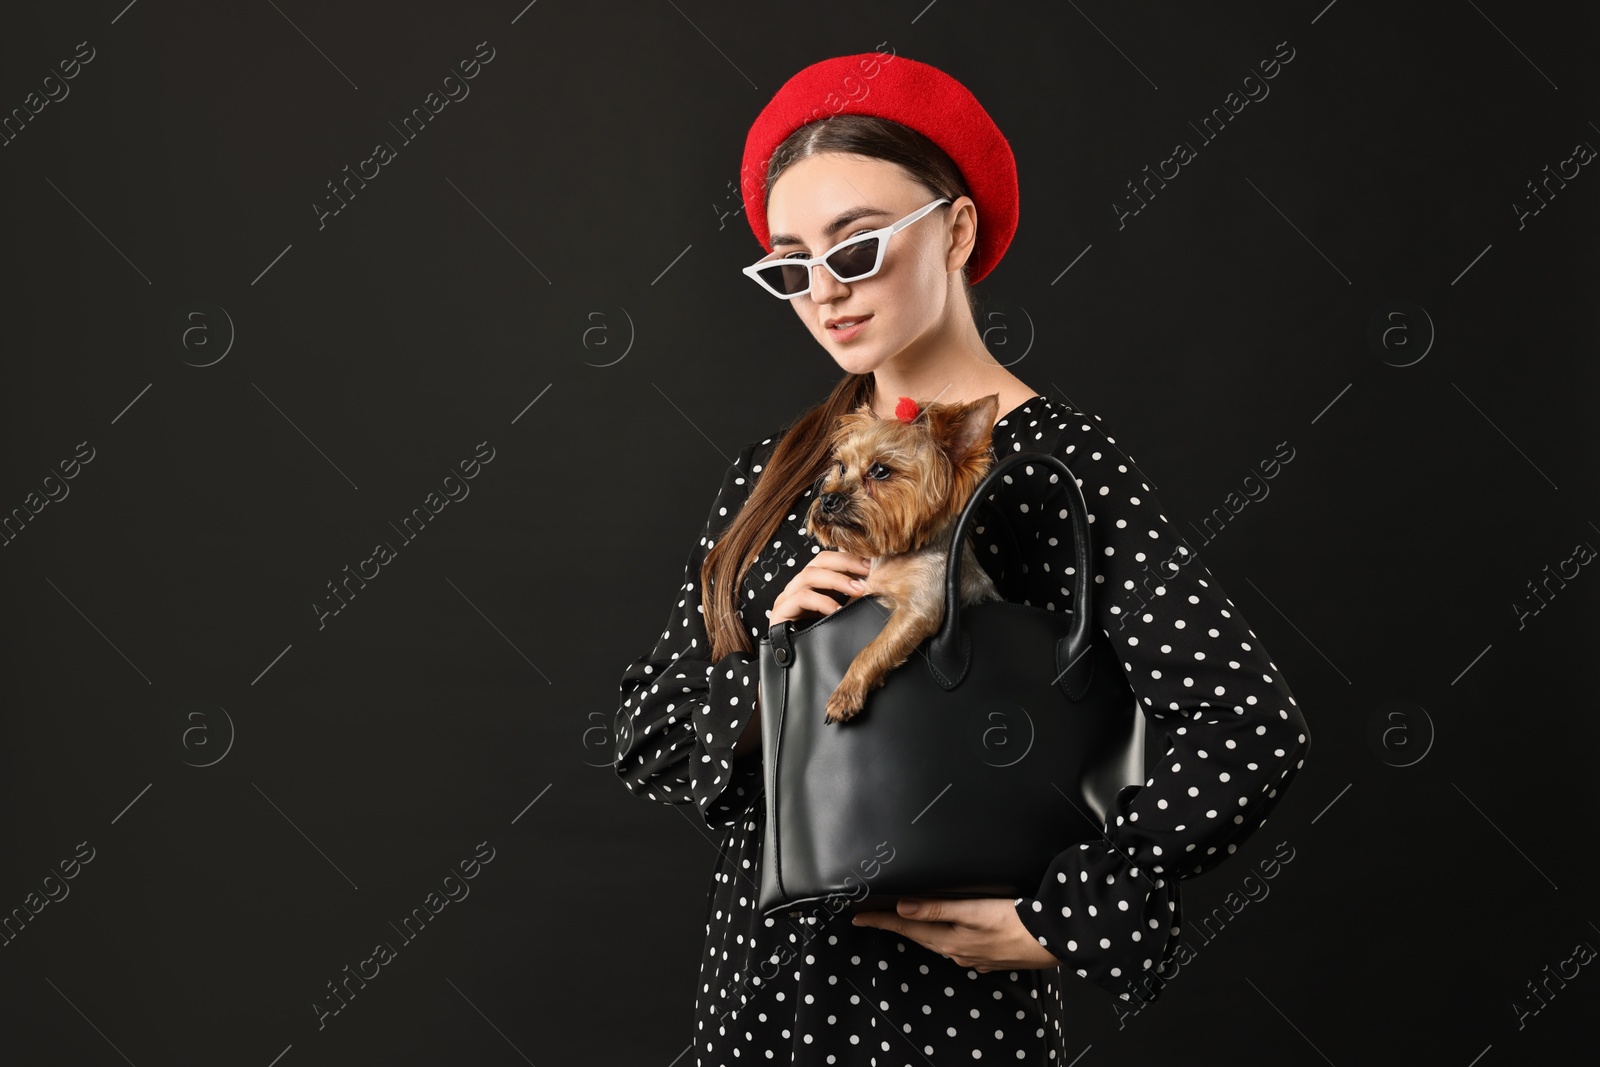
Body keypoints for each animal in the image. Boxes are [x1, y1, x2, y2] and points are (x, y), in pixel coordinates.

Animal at [806, 391, 1004, 726]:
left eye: (880, 471)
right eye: (841, 467)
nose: (828, 498)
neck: (898, 556)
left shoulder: (920, 608)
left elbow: (874, 648)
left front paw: (846, 692)